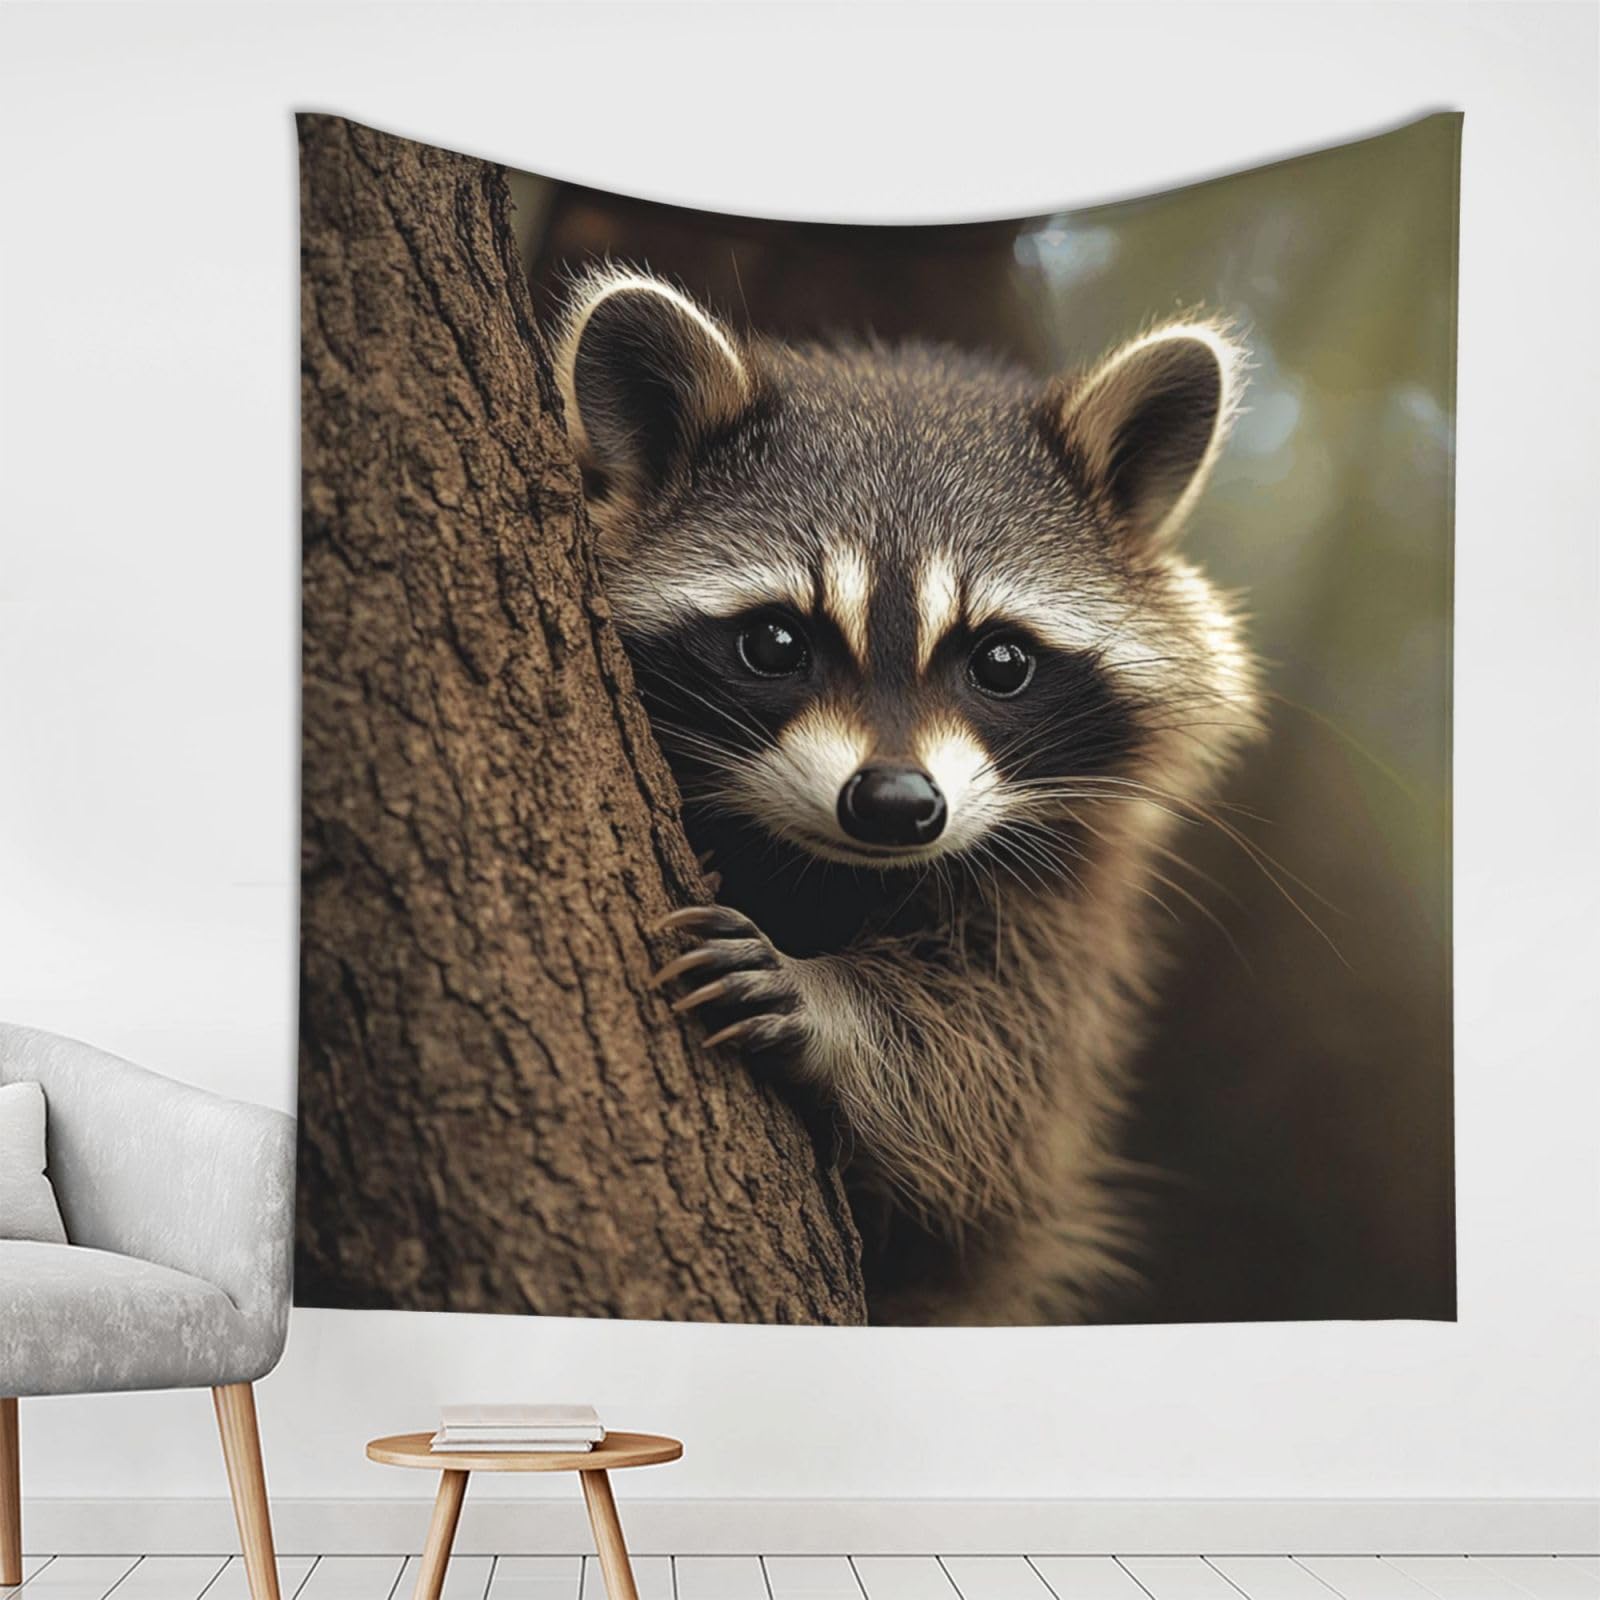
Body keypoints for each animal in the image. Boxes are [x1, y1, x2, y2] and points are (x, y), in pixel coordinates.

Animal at [554, 266, 1262, 1325]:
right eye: (775, 643)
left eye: (1001, 661)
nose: (893, 804)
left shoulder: (1065, 900)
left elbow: (993, 1087)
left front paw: (827, 1009)